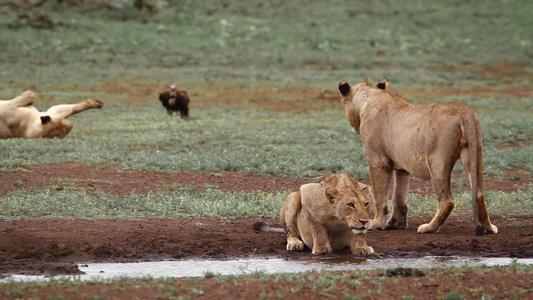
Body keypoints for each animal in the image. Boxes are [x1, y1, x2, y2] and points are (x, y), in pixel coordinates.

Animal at [338, 78, 496, 236]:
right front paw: (395, 224)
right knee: (479, 194)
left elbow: (380, 196)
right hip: (474, 155)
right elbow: (399, 197)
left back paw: (429, 228)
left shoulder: (378, 161)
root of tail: (464, 113)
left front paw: (376, 224)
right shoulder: (402, 168)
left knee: (447, 201)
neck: (368, 99)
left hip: (437, 161)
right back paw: (489, 228)